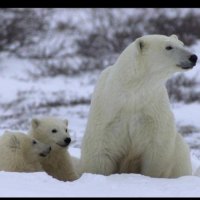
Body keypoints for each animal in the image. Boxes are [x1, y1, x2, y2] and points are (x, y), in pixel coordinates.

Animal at [79, 34, 197, 178]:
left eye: (182, 44)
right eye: (168, 47)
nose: (193, 57)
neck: (132, 93)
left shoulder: (153, 110)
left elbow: (157, 148)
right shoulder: (108, 115)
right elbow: (99, 150)